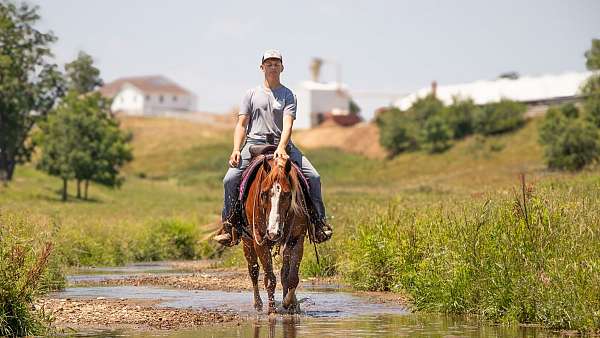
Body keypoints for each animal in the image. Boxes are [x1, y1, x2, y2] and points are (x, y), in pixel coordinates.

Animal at [241, 156, 310, 314]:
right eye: (263, 194)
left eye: (288, 194)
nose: (273, 232)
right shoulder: (260, 241)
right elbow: (270, 278)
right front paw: (272, 310)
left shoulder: (296, 240)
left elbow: (292, 278)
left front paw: (290, 303)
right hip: (247, 241)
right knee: (253, 270)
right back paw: (258, 304)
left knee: (284, 273)